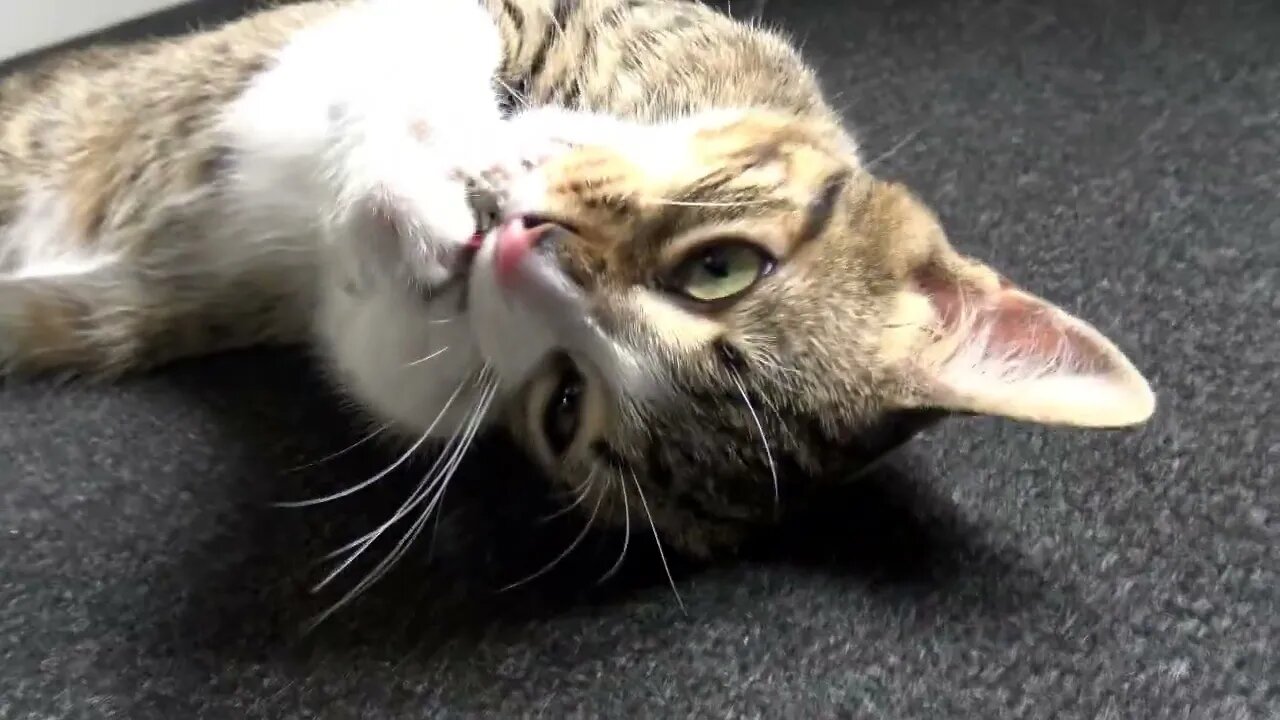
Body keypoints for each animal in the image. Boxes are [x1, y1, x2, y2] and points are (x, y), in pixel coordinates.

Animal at [0, 0, 1157, 566]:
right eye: (721, 269)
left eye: (564, 405)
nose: (517, 248)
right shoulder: (508, 11)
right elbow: (408, 61)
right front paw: (410, 184)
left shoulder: (363, 337)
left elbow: (385, 352)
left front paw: (406, 233)